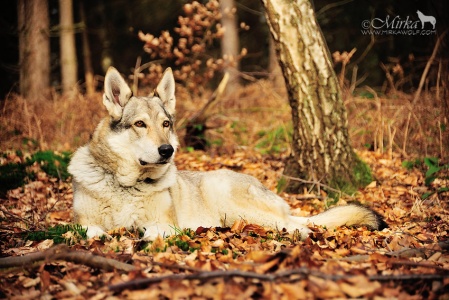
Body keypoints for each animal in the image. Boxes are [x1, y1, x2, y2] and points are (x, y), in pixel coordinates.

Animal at [68, 67, 384, 240]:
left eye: (166, 124)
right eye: (139, 124)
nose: (167, 150)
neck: (126, 186)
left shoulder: (167, 222)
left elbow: (154, 229)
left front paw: (145, 236)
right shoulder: (82, 223)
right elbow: (91, 230)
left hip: (231, 204)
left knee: (298, 226)